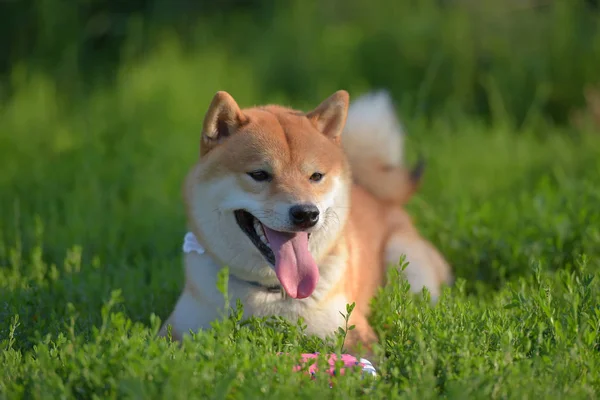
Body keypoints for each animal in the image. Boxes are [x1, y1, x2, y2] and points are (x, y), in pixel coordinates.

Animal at [159, 90, 450, 350]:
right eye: (259, 174)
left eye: (316, 176)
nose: (307, 213)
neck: (271, 293)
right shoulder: (176, 330)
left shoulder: (354, 335)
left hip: (408, 264)